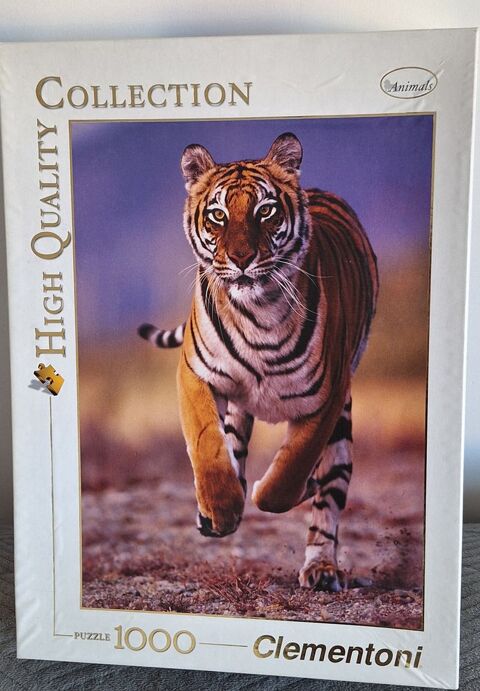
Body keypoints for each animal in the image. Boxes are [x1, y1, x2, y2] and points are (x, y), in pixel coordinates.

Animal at [138, 132, 378, 591]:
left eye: (265, 211)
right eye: (217, 215)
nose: (241, 258)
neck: (257, 313)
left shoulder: (326, 397)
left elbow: (289, 473)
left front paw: (277, 489)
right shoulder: (195, 373)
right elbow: (208, 446)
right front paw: (220, 509)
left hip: (342, 424)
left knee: (327, 499)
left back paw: (322, 568)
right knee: (232, 443)